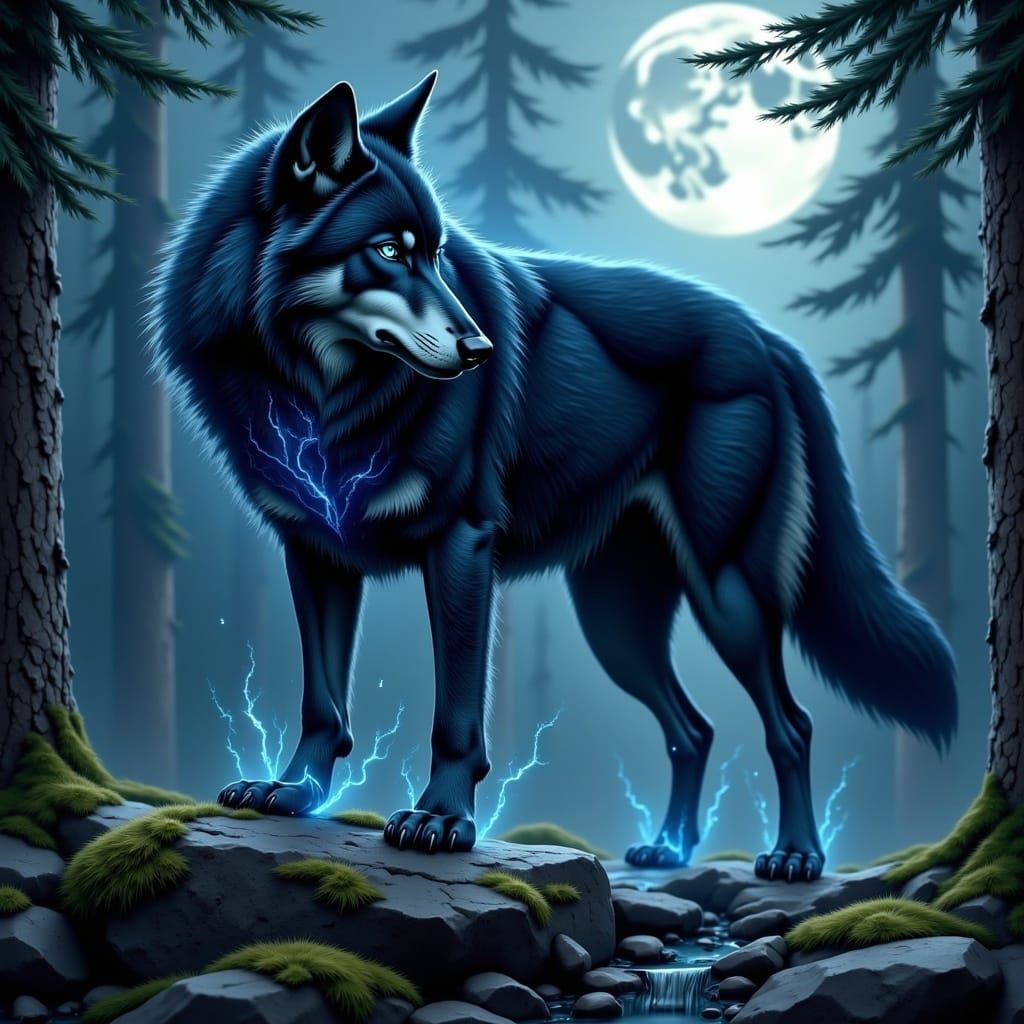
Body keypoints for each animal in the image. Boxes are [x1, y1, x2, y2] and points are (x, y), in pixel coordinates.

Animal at [150, 73, 957, 880]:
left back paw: (794, 855)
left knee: (792, 724)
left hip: (728, 595)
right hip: (615, 621)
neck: (320, 393)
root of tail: (766, 335)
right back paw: (667, 849)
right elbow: (321, 698)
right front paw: (294, 792)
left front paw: (441, 819)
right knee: (692, 729)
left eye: (437, 254)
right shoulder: (313, 554)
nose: (481, 348)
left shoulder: (461, 547)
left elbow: (456, 714)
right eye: (387, 250)